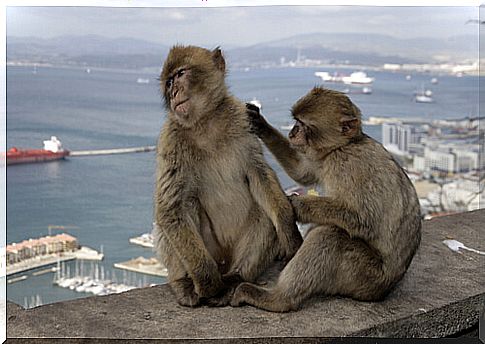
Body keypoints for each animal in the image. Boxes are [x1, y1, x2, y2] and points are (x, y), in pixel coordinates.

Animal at [153, 45, 300, 306]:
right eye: (168, 83)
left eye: (180, 74)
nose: (173, 93)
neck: (206, 122)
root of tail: (224, 264)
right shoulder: (171, 139)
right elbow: (171, 207)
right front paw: (208, 284)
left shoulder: (242, 120)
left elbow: (258, 175)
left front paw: (289, 231)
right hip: (211, 251)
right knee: (184, 206)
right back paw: (185, 283)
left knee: (263, 210)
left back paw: (237, 276)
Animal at [231, 86, 420, 312]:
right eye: (296, 121)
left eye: (304, 124)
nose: (293, 132)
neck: (342, 147)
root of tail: (384, 291)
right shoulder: (323, 159)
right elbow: (302, 172)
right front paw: (260, 123)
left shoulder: (349, 166)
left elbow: (364, 219)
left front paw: (297, 204)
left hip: (364, 276)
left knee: (329, 235)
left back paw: (277, 299)